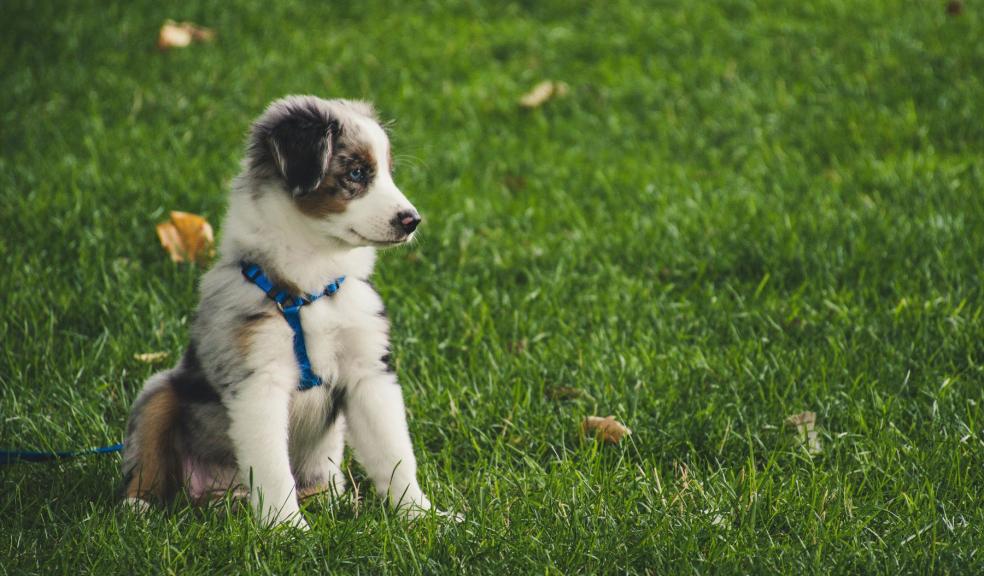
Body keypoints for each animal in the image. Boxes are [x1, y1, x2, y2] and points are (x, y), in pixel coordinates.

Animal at [120, 95, 454, 532]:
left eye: (387, 172)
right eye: (357, 172)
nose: (412, 221)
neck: (311, 287)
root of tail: (219, 495)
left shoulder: (369, 372)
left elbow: (394, 454)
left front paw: (422, 516)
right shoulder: (258, 380)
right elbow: (272, 466)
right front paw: (287, 530)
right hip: (160, 391)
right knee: (148, 456)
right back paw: (138, 506)